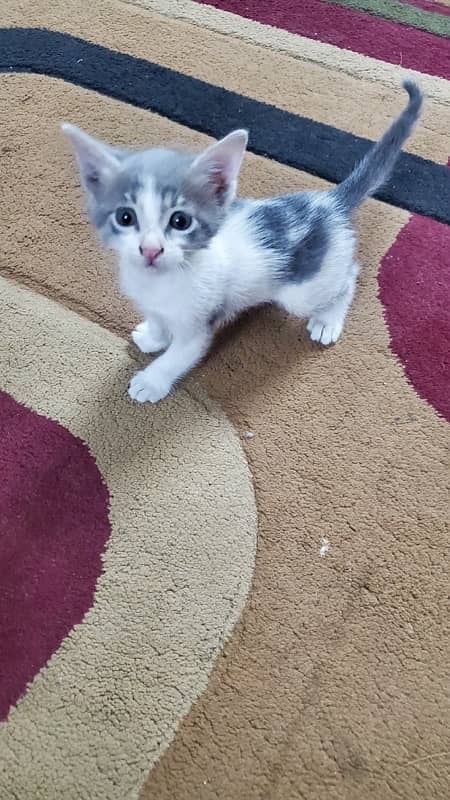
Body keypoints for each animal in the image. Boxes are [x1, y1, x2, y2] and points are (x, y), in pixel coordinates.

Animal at [62, 81, 422, 404]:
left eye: (180, 221)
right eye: (125, 217)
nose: (150, 250)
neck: (160, 282)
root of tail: (329, 202)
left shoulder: (199, 325)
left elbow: (179, 356)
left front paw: (151, 381)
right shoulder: (152, 303)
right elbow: (159, 321)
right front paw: (153, 336)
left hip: (302, 291)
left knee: (348, 276)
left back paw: (327, 319)